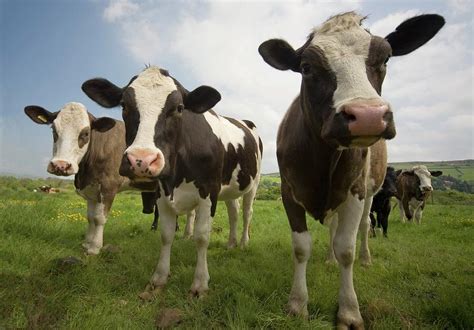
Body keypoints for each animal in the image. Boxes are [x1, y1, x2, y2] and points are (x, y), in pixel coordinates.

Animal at [24, 103, 161, 255]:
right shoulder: (91, 191)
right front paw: (87, 243)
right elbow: (90, 217)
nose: (60, 165)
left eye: (86, 133)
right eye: (53, 129)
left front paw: (95, 247)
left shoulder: (108, 187)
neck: (85, 174)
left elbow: (99, 218)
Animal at [79, 65, 262, 296]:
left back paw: (244, 243)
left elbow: (202, 237)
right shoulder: (161, 192)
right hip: (230, 188)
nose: (141, 160)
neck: (176, 175)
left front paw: (200, 283)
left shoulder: (209, 190)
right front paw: (159, 277)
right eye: (124, 105)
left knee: (247, 213)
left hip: (253, 185)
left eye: (179, 107)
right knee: (234, 213)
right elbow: (166, 235)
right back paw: (231, 243)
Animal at [258, 11, 442, 328]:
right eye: (306, 67)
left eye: (386, 58)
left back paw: (365, 259)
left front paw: (349, 311)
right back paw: (329, 259)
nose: (367, 116)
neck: (322, 158)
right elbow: (301, 246)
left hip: (370, 192)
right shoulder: (288, 190)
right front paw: (297, 304)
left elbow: (346, 248)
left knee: (365, 227)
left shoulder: (355, 191)